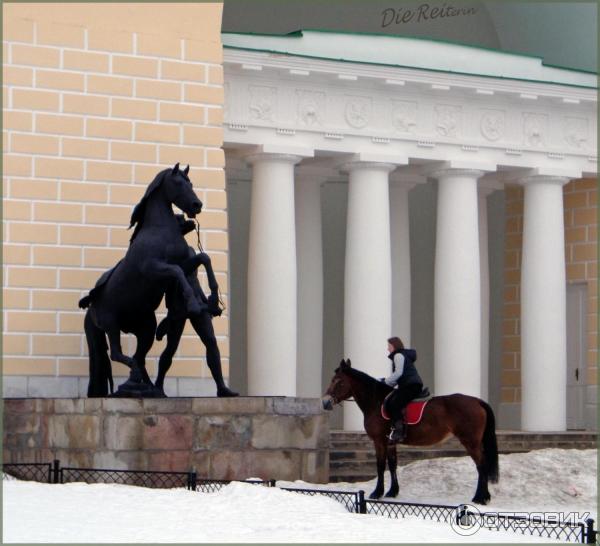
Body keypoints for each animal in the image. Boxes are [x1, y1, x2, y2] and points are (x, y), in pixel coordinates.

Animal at [322, 360, 500, 504]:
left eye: (338, 381)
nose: (325, 403)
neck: (376, 401)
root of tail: (477, 401)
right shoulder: (390, 442)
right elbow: (392, 465)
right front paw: (392, 492)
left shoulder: (379, 441)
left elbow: (380, 465)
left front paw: (377, 492)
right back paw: (484, 497)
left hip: (470, 441)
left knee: (481, 465)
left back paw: (479, 498)